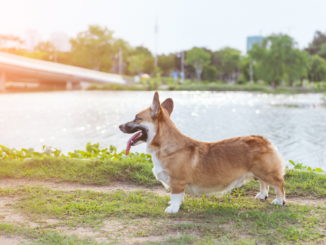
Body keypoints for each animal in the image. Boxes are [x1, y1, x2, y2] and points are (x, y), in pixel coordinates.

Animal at [119, 92, 286, 212]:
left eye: (136, 118)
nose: (119, 126)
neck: (165, 145)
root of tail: (263, 139)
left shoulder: (177, 182)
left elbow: (175, 196)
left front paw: (172, 209)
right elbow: (177, 197)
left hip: (266, 171)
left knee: (279, 183)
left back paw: (279, 201)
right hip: (258, 171)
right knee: (264, 183)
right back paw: (262, 196)